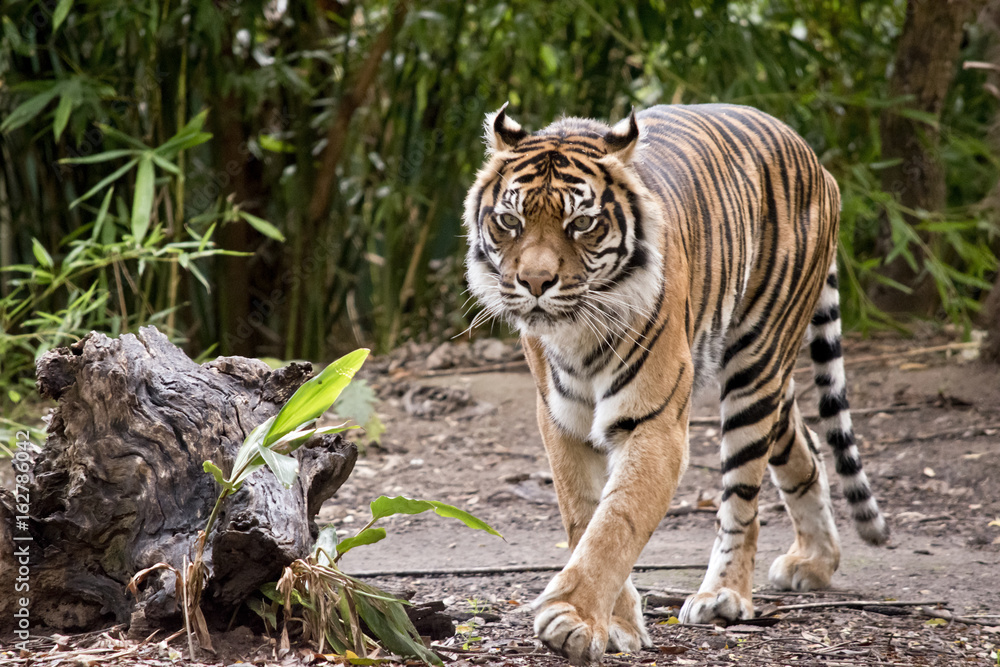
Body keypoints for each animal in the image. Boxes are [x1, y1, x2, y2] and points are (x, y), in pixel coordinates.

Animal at [462, 102, 890, 664]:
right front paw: (615, 624)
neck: (577, 331)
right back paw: (815, 562)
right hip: (774, 380)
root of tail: (815, 158)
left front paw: (572, 618)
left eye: (582, 224)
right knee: (807, 446)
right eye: (509, 221)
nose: (534, 283)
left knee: (742, 498)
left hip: (756, 363)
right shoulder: (560, 423)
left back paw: (724, 595)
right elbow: (584, 517)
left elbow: (616, 522)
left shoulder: (654, 425)